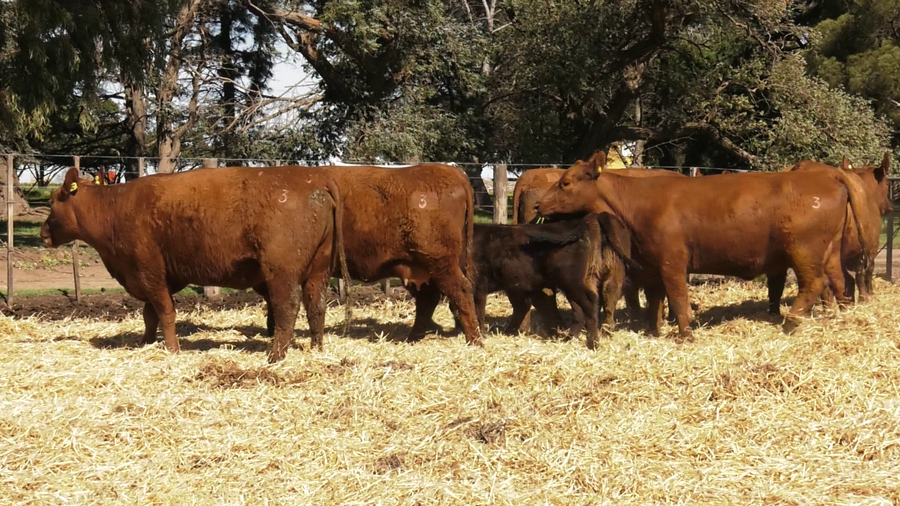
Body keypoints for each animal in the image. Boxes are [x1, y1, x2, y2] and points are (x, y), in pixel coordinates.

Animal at [39, 166, 350, 363]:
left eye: (53, 201)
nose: (43, 233)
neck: (114, 208)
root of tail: (314, 179)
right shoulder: (152, 276)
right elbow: (149, 315)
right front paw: (146, 342)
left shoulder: (149, 271)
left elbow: (165, 312)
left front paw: (172, 349)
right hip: (318, 269)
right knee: (316, 306)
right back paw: (317, 348)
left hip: (282, 273)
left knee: (288, 308)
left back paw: (275, 356)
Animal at [314, 163, 483, 346]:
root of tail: (453, 172)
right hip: (419, 268)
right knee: (428, 299)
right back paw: (413, 338)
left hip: (441, 263)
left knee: (460, 291)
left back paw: (474, 341)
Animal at [466, 213, 631, 349]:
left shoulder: (479, 285)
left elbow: (478, 310)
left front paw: (480, 334)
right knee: (578, 308)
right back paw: (570, 338)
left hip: (571, 283)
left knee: (589, 302)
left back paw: (592, 343)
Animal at [535, 155, 875, 337]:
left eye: (565, 182)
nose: (538, 205)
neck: (637, 204)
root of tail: (828, 176)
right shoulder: (653, 265)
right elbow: (656, 300)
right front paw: (654, 330)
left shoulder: (672, 261)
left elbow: (678, 297)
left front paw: (685, 334)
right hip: (828, 251)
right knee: (838, 280)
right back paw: (842, 316)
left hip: (804, 251)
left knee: (814, 283)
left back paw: (791, 321)